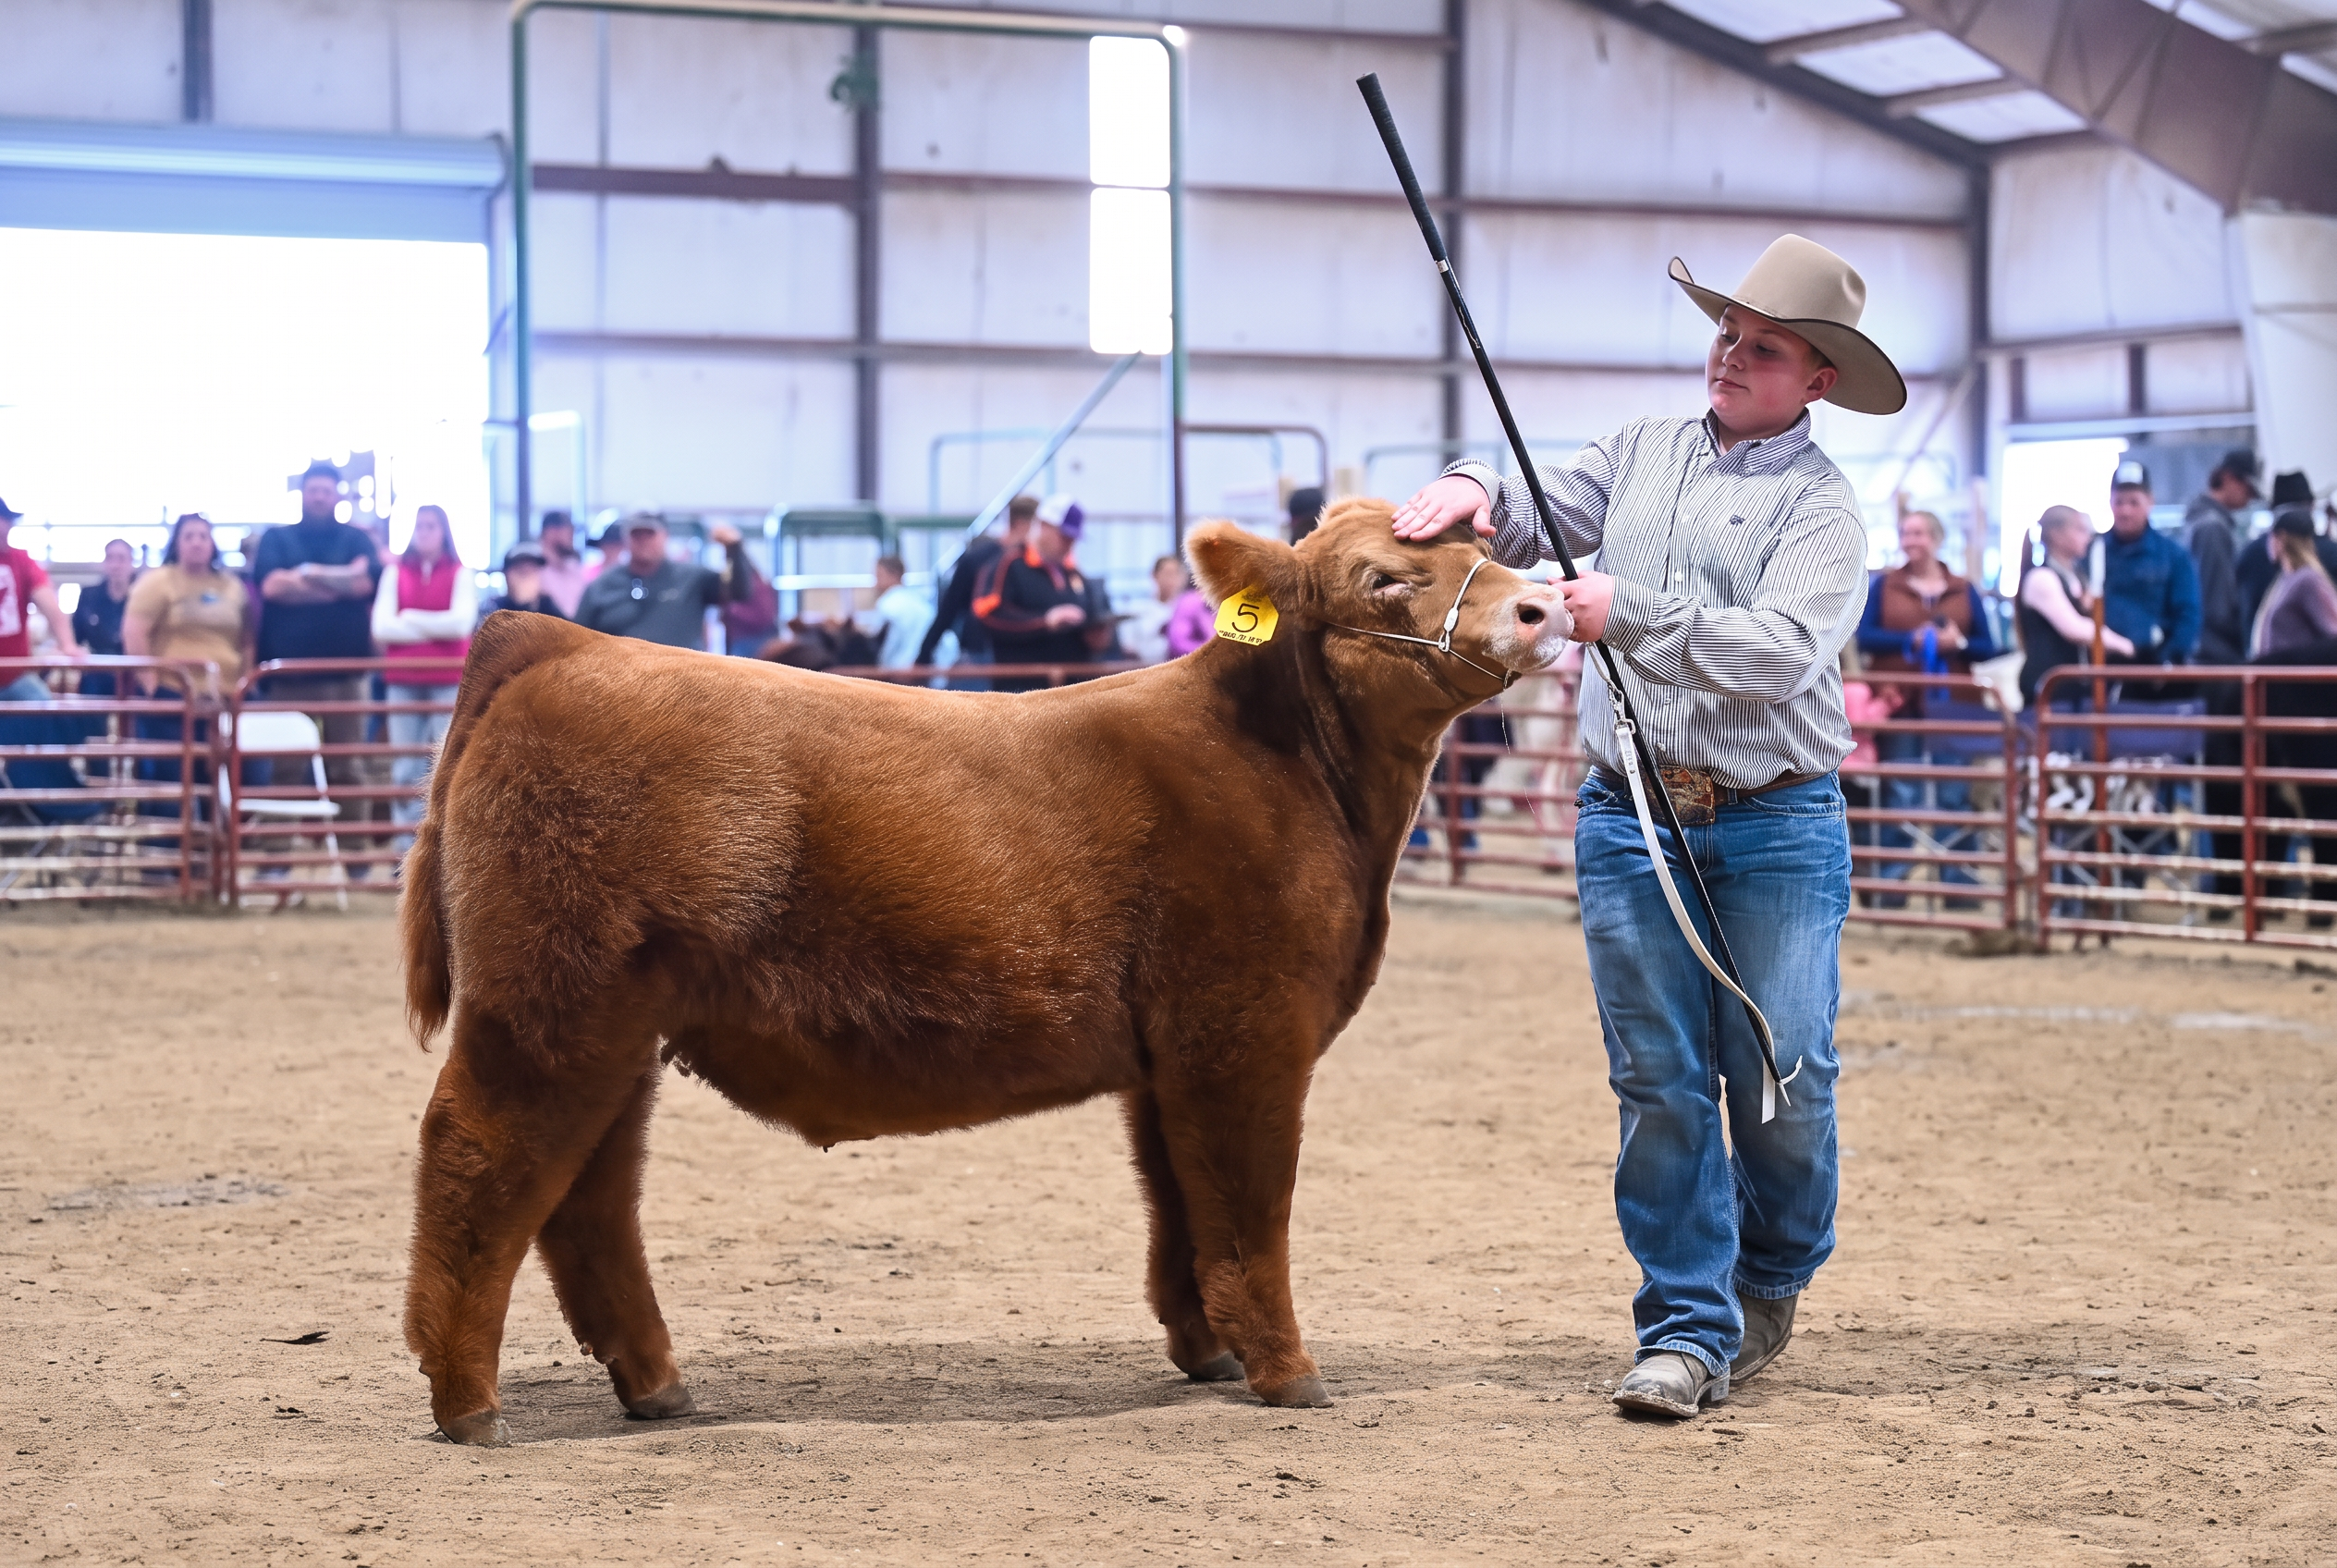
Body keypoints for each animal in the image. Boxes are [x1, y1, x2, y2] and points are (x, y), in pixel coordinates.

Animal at [398, 498, 1570, 1445]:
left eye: (1481, 545)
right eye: (1383, 578)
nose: (1540, 608)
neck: (1294, 766)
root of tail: (553, 640)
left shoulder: (1167, 1060)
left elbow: (1178, 1206)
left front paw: (1206, 1352)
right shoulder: (1244, 1037)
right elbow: (1247, 1209)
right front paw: (1286, 1370)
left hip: (616, 1025)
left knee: (588, 1197)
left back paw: (653, 1385)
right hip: (550, 1009)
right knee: (479, 1160)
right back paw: (467, 1404)